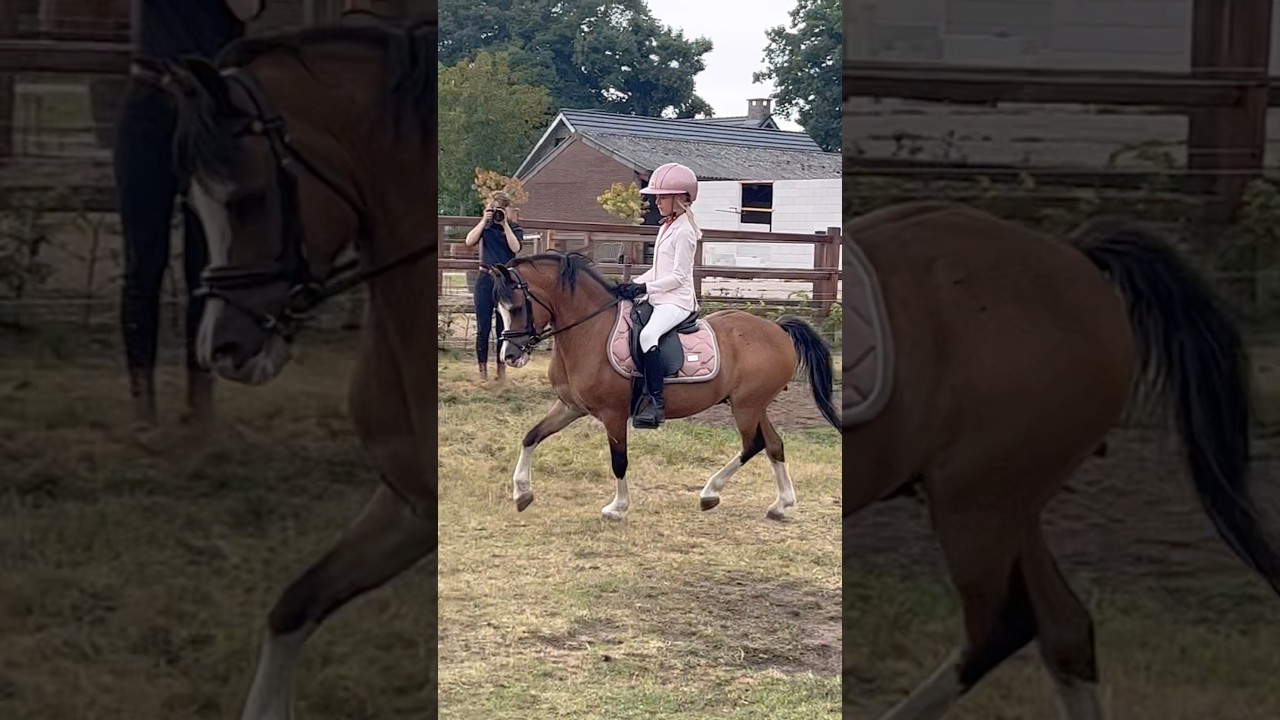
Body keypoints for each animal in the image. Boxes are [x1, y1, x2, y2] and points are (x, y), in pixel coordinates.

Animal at [485, 252, 840, 521]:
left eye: (516, 307)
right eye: (500, 308)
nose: (510, 355)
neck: (589, 330)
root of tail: (778, 329)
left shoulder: (613, 414)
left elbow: (619, 461)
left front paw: (617, 508)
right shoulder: (570, 406)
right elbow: (531, 437)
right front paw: (522, 492)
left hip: (746, 406)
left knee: (753, 445)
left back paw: (710, 493)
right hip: (752, 404)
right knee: (773, 444)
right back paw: (781, 504)